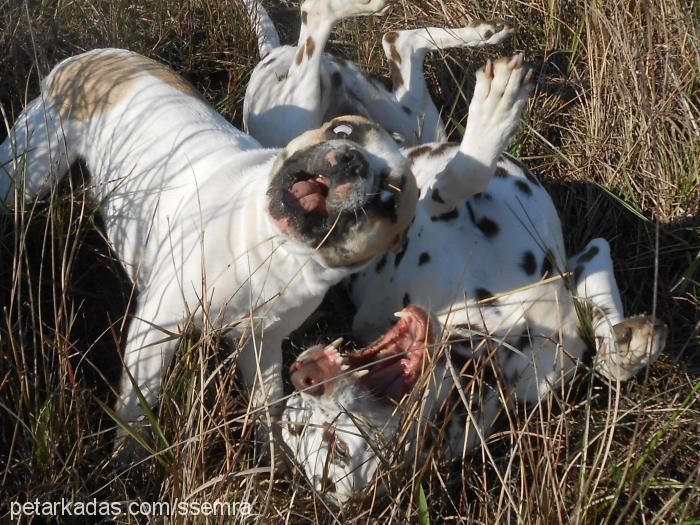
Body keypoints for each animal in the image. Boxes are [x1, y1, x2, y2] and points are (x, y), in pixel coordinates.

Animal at [0, 49, 416, 450]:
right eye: (343, 129)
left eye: (390, 200)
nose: (352, 159)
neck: (271, 250)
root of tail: (85, 58)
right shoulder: (155, 331)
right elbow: (137, 409)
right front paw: (129, 459)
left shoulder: (262, 347)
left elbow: (267, 409)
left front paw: (272, 460)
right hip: (27, 172)